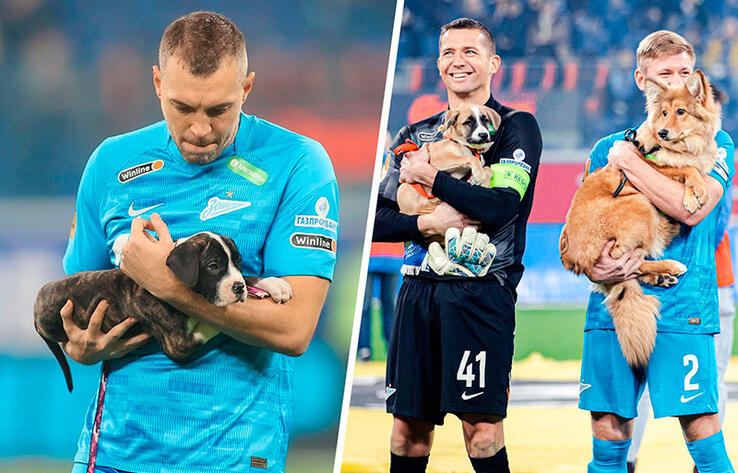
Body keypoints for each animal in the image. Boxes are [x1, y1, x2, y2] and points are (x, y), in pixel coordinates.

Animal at [34, 231, 288, 390]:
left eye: (238, 262)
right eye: (213, 266)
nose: (238, 288)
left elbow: (249, 278)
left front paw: (273, 284)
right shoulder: (179, 343)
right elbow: (208, 322)